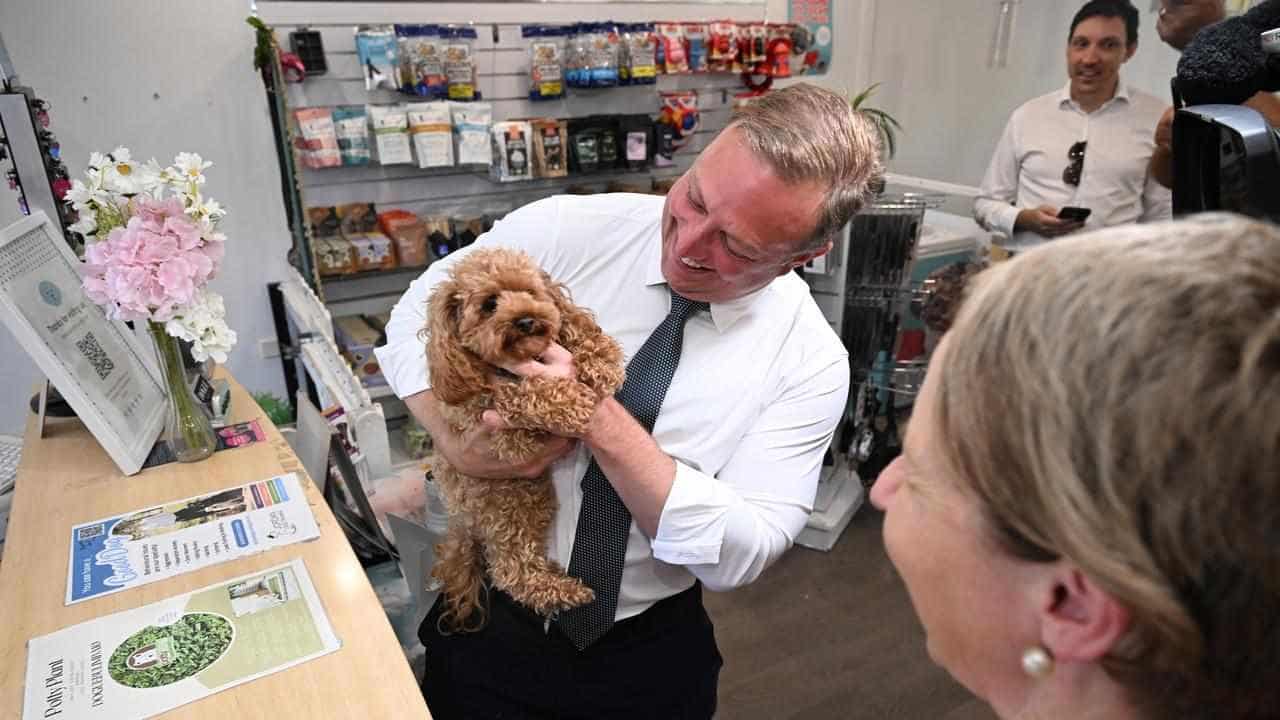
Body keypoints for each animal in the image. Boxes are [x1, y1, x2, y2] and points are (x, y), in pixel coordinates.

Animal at [424, 244, 624, 627]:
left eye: (530, 292)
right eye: (489, 304)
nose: (526, 320)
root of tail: (462, 525)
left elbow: (580, 332)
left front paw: (601, 360)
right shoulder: (504, 431)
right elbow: (526, 393)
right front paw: (572, 402)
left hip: (534, 498)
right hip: (505, 507)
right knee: (510, 571)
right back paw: (564, 591)